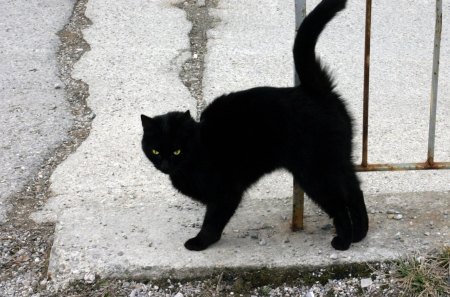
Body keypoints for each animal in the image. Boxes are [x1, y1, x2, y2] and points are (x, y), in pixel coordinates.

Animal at [142, 0, 370, 251]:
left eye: (176, 150)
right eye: (155, 150)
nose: (165, 164)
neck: (199, 150)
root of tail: (314, 90)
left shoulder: (226, 193)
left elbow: (213, 220)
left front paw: (201, 241)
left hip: (314, 172)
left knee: (339, 205)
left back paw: (344, 240)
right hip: (337, 160)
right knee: (355, 190)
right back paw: (361, 233)